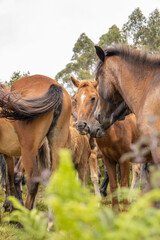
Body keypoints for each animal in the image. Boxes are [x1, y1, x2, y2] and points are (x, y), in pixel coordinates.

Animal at [0, 74, 71, 209]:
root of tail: (55, 86)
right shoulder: (8, 154)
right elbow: (10, 179)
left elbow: (9, 180)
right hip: (57, 144)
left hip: (28, 149)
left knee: (32, 182)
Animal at [70, 77, 142, 210]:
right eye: (75, 99)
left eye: (93, 98)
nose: (80, 125)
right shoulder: (105, 158)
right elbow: (111, 183)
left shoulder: (116, 158)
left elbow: (98, 178)